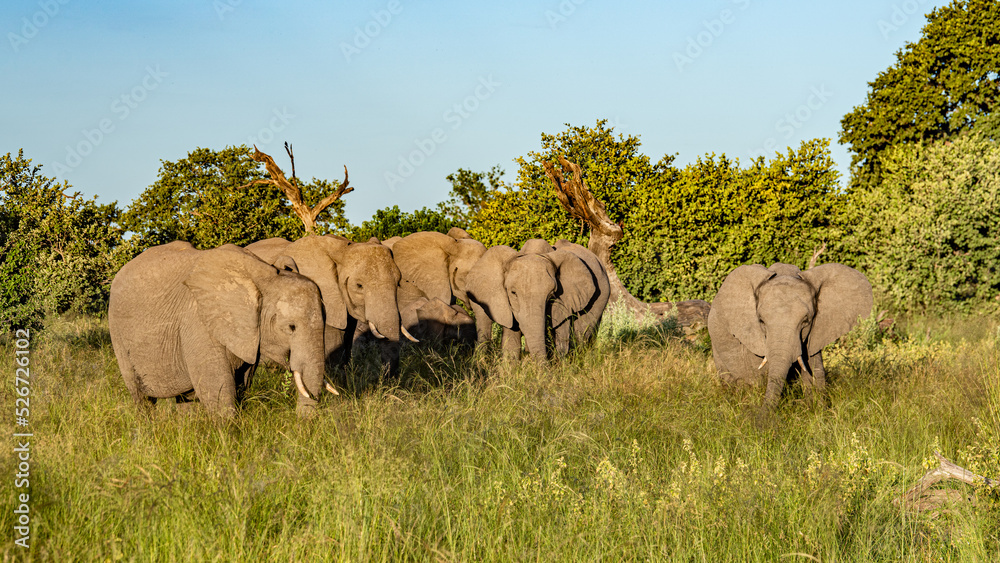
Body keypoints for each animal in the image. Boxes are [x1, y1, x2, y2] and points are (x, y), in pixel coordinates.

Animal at [109, 242, 335, 417]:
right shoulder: (199, 321)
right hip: (117, 333)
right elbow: (218, 393)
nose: (301, 424)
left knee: (186, 399)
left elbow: (241, 385)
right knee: (142, 398)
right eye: (291, 327)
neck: (264, 278)